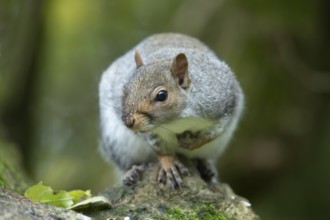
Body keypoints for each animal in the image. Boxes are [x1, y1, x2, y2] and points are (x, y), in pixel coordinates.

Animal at [98, 33, 242, 187]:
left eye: (162, 95)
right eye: (125, 90)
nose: (128, 121)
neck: (176, 120)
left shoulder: (225, 102)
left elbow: (216, 131)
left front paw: (192, 142)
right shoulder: (150, 133)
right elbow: (160, 148)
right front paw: (169, 163)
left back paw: (206, 167)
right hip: (118, 143)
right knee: (126, 163)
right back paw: (131, 172)